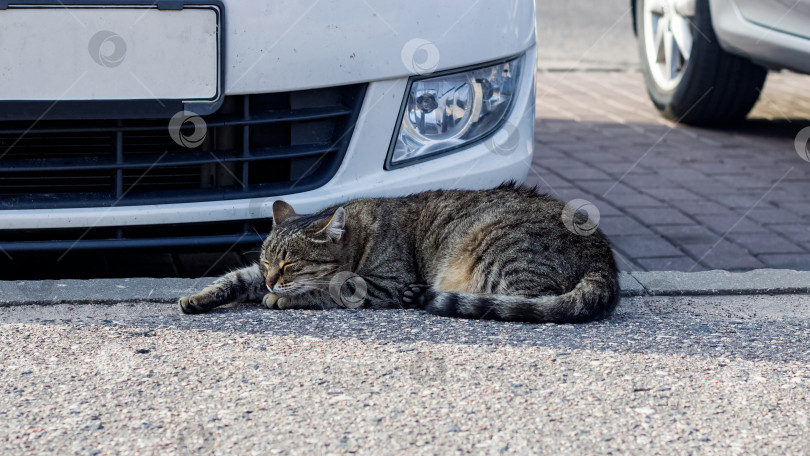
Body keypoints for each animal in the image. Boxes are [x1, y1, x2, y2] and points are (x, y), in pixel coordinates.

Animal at [178, 183, 620, 322]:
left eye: (290, 264)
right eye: (268, 262)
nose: (272, 280)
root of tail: (603, 254)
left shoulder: (381, 283)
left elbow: (328, 289)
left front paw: (284, 298)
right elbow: (235, 278)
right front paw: (198, 297)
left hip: (498, 251)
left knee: (518, 302)